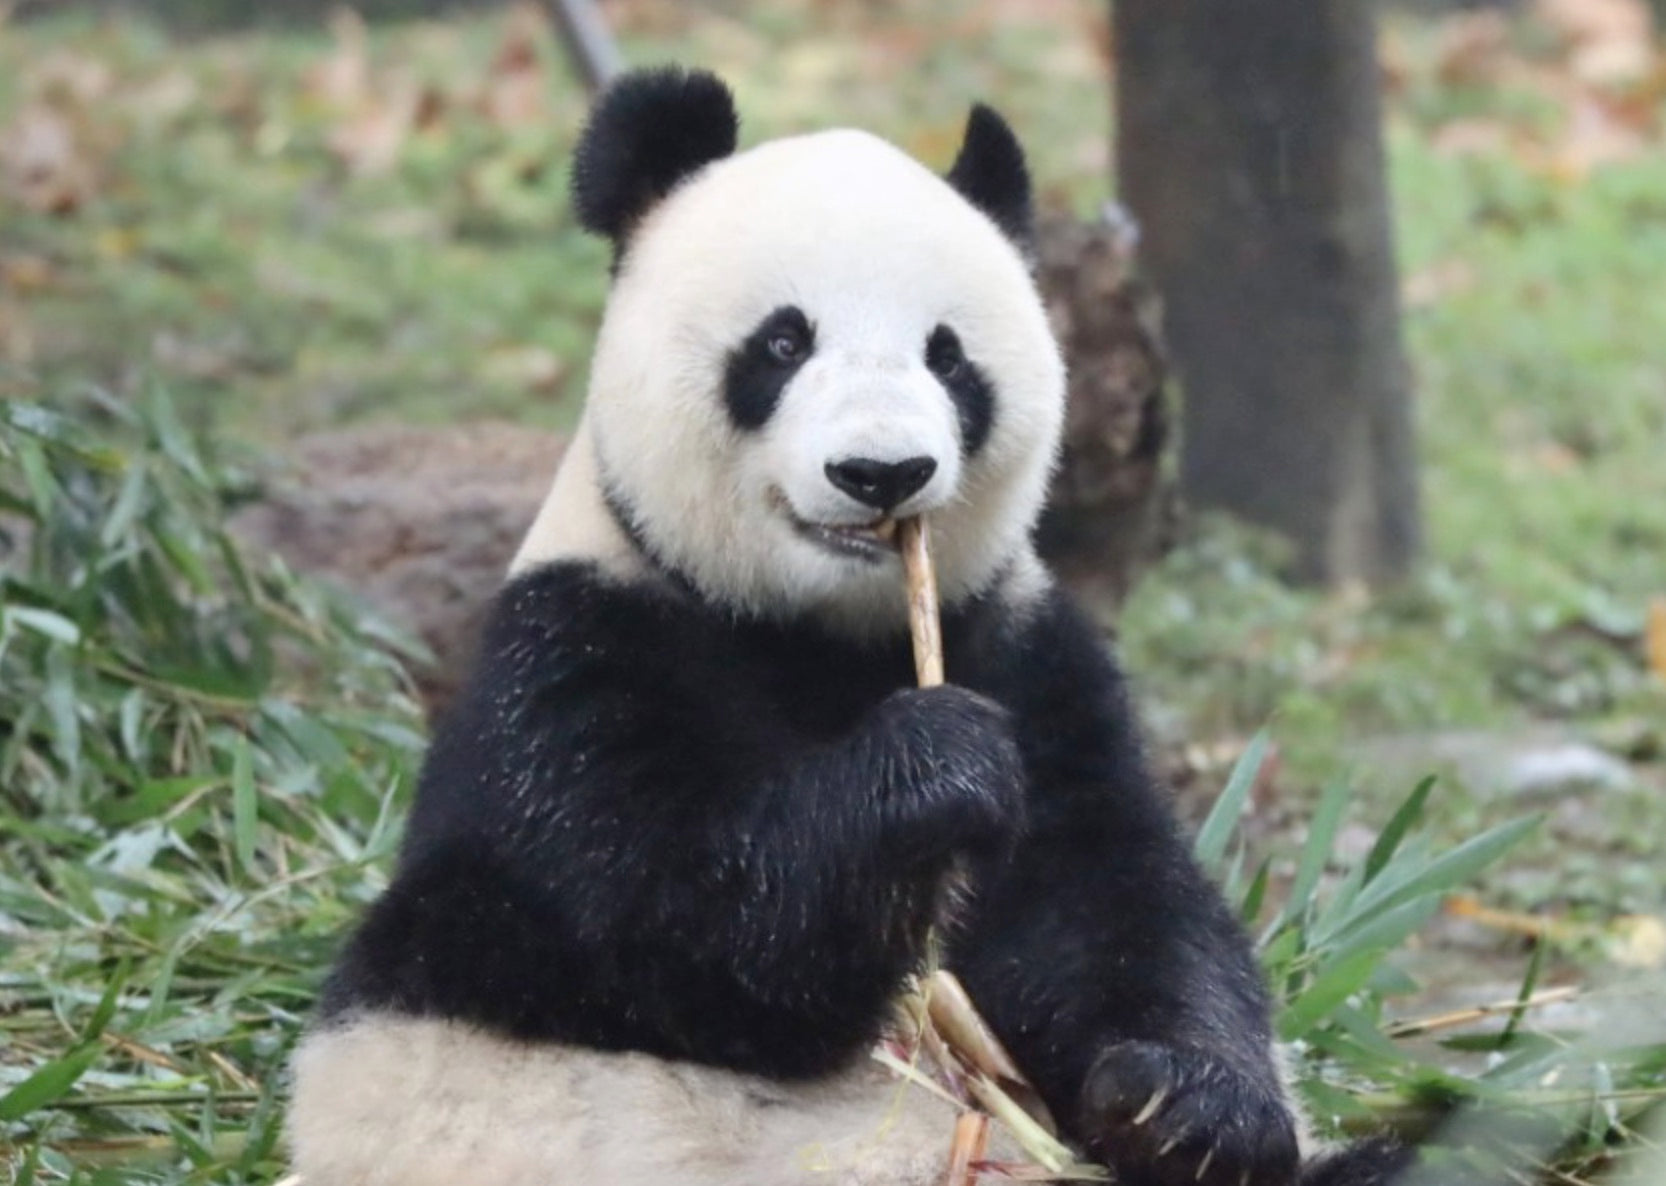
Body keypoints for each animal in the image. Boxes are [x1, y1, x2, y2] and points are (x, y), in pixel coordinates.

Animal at [287, 68, 1412, 1186]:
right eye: (784, 343)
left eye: (949, 358)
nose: (882, 472)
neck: (817, 630)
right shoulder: (578, 646)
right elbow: (643, 922)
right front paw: (934, 762)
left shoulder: (1026, 645)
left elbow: (1113, 897)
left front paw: (1185, 1108)